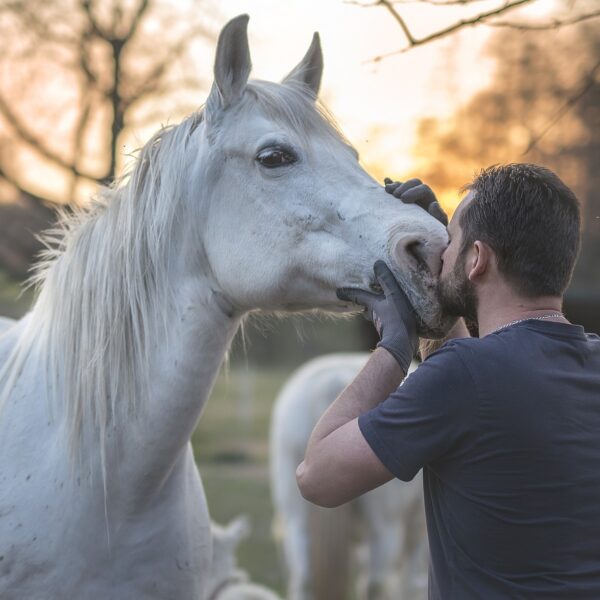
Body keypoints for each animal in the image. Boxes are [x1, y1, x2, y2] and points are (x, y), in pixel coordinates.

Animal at [270, 354, 428, 596]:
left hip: (295, 520)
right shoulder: (416, 527)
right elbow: (408, 582)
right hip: (385, 527)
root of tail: (333, 382)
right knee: (375, 583)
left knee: (304, 578)